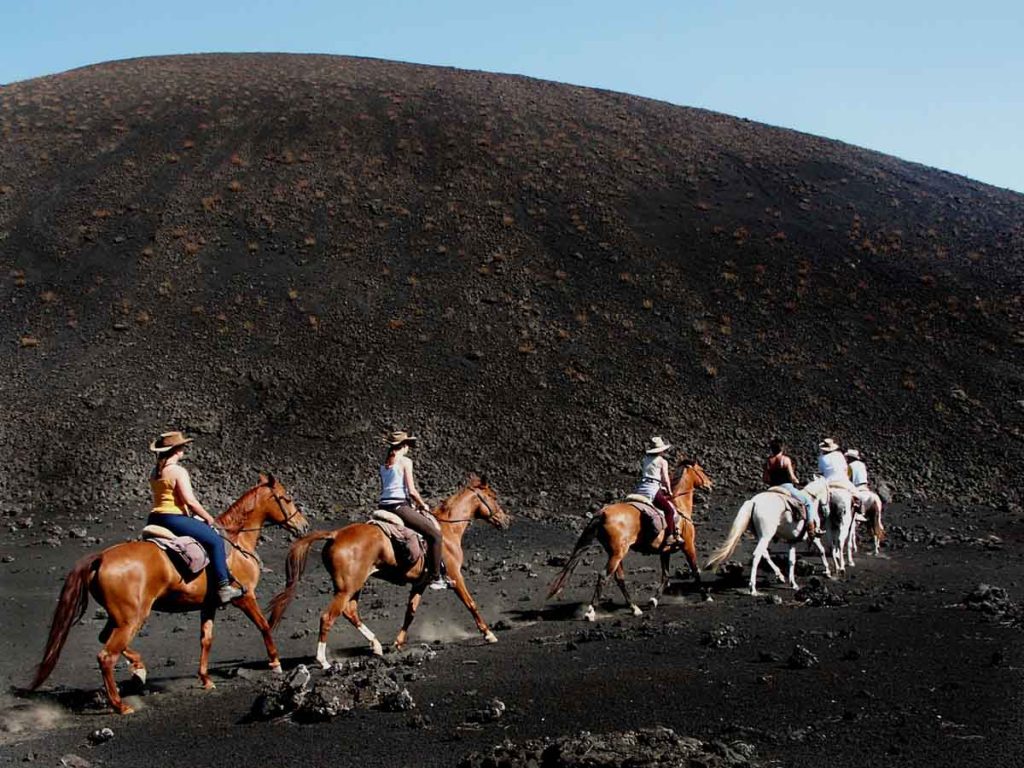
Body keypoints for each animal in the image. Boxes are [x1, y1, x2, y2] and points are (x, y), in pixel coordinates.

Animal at [28, 475, 307, 716]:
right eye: (287, 498)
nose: (303, 525)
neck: (237, 542)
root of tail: (102, 557)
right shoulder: (245, 597)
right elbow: (265, 626)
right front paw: (275, 663)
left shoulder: (209, 605)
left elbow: (206, 639)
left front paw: (205, 679)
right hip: (132, 618)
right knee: (106, 656)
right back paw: (120, 704)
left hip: (120, 617)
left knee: (105, 638)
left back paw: (139, 670)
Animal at [268, 473, 507, 671]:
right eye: (493, 496)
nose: (506, 520)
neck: (448, 531)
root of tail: (335, 534)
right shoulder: (455, 577)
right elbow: (471, 604)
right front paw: (488, 634)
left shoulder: (419, 583)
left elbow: (410, 613)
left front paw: (398, 643)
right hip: (347, 588)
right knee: (328, 617)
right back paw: (323, 660)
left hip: (354, 586)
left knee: (350, 612)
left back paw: (375, 645)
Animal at [544, 460, 712, 622]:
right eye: (702, 470)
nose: (710, 485)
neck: (678, 506)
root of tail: (602, 513)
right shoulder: (688, 545)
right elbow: (695, 570)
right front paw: (706, 596)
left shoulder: (664, 551)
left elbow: (665, 576)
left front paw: (654, 600)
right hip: (618, 554)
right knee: (604, 576)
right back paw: (590, 613)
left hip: (615, 553)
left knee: (619, 578)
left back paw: (634, 608)